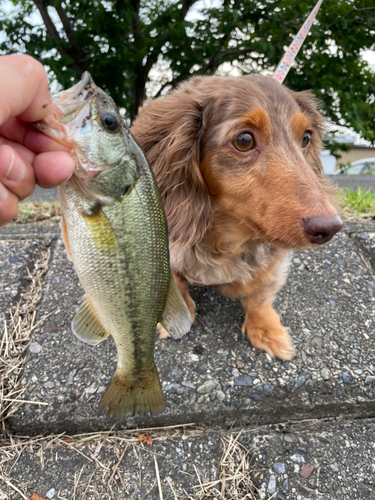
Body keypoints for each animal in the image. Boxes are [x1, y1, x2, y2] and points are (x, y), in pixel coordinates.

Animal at [131, 75, 342, 360]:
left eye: (306, 137)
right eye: (244, 140)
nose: (330, 228)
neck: (225, 240)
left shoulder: (273, 265)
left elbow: (258, 299)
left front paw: (267, 332)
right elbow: (179, 285)